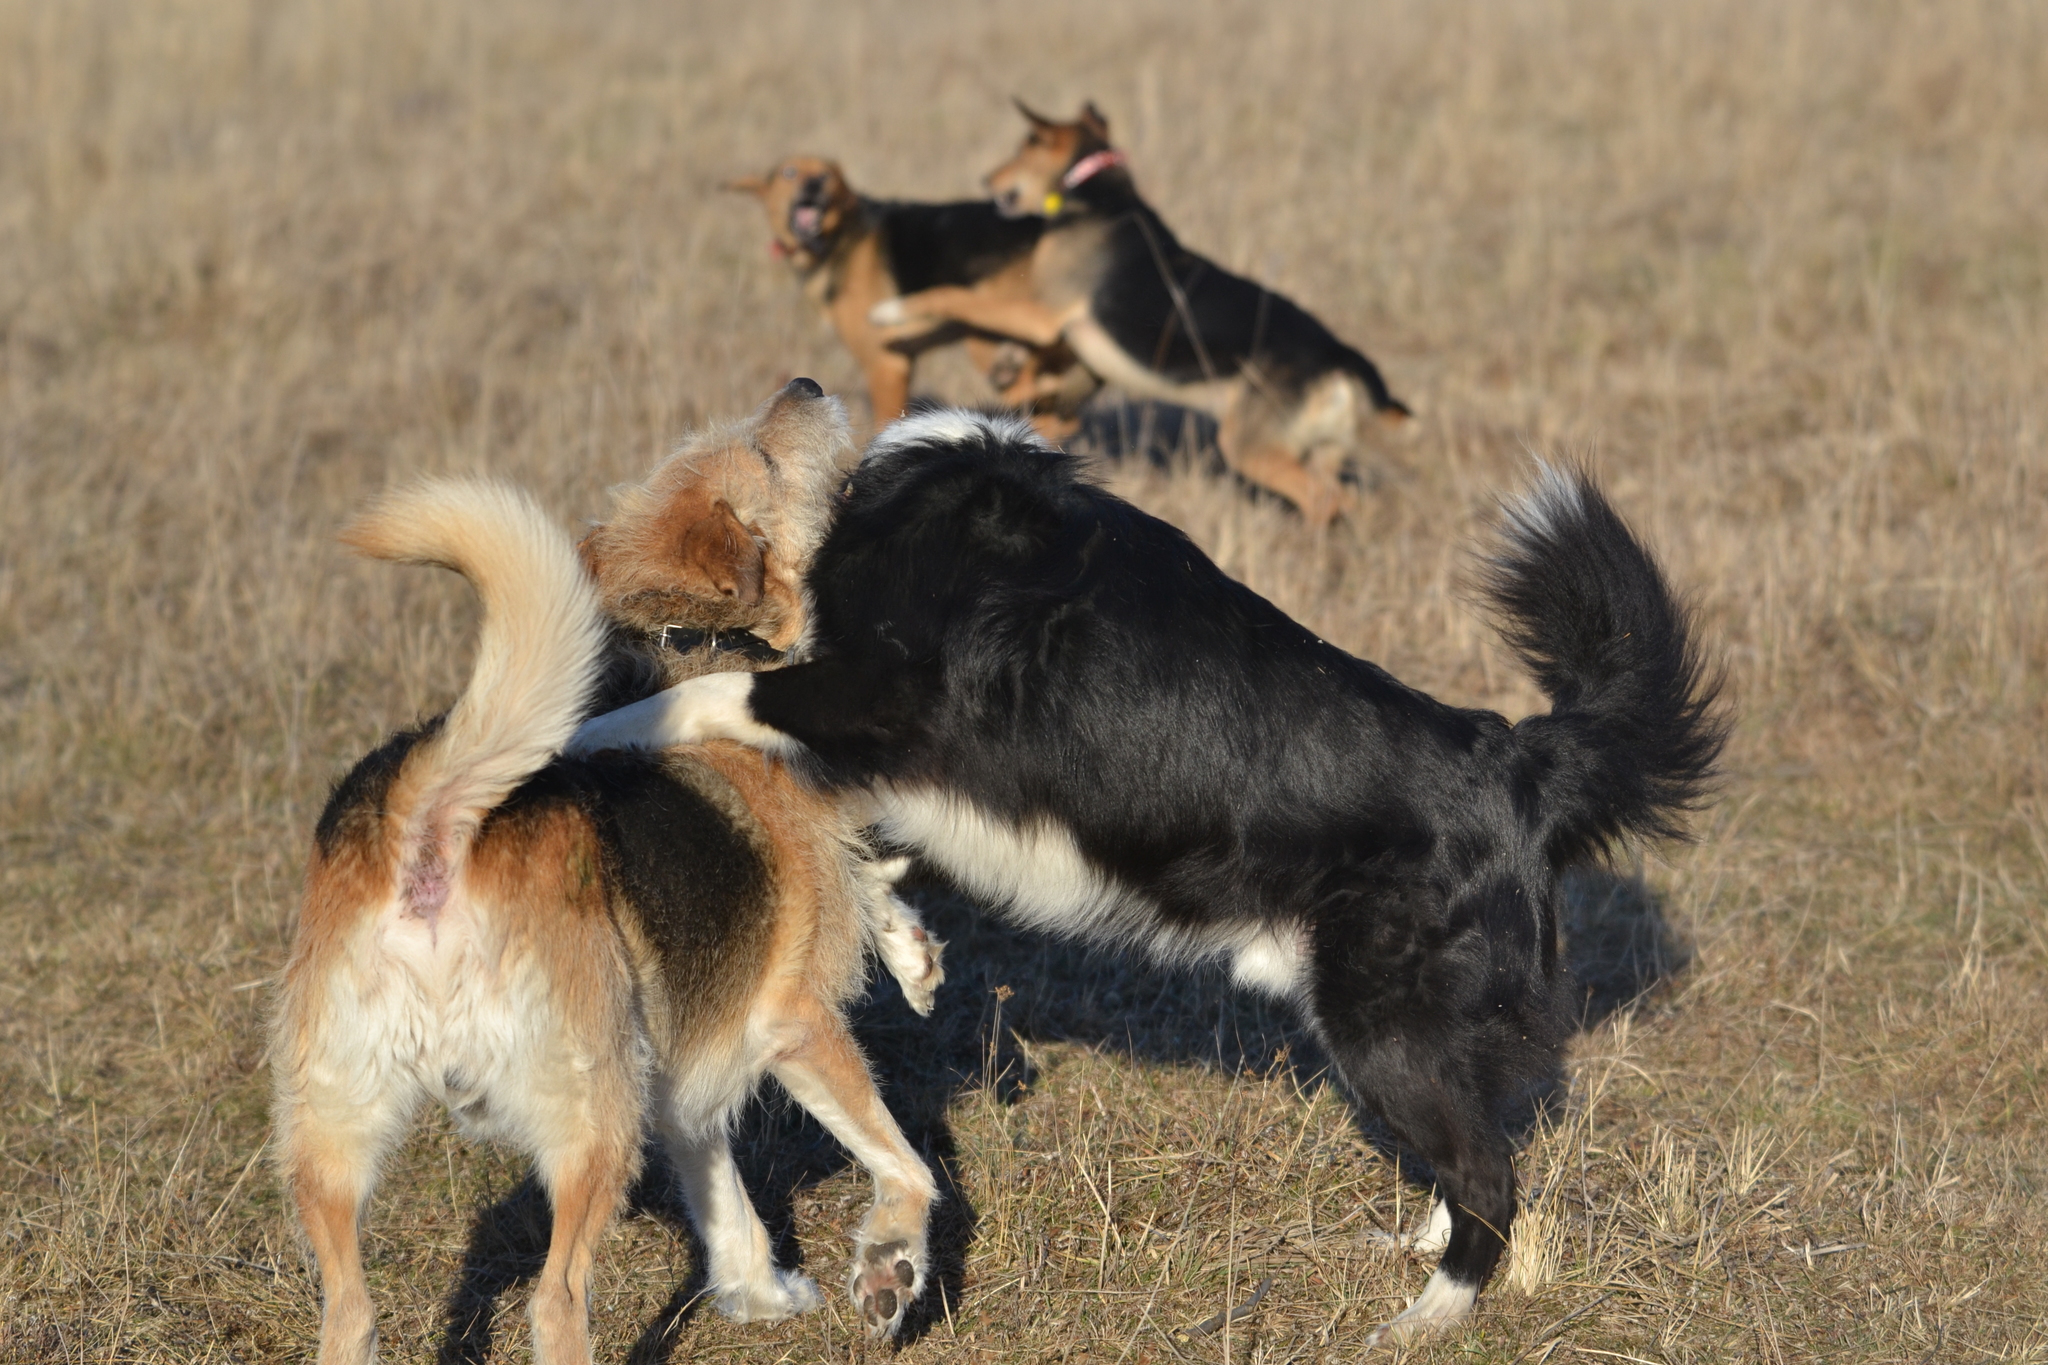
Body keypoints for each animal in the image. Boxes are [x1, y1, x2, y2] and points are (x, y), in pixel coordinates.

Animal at [272, 382, 942, 1365]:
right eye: (764, 456)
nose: (807, 387)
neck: (695, 636)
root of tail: (432, 829)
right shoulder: (794, 1025)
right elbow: (908, 1166)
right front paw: (890, 1268)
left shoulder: (683, 1067)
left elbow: (726, 1203)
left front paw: (760, 1292)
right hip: (592, 1126)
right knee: (556, 1302)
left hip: (339, 1135)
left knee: (350, 1311)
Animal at [573, 401, 1728, 1342]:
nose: (807, 386)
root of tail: (1517, 763)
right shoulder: (927, 778)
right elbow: (867, 843)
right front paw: (907, 951)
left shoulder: (875, 700)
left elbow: (700, 695)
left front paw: (571, 735)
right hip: (1405, 1029)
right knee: (1474, 1143)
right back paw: (1414, 1248)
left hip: (1381, 1021)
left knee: (1490, 1171)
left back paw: (1423, 1318)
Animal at [724, 159, 1097, 437]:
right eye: (788, 173)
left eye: (826, 174)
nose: (814, 184)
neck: (840, 238)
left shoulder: (886, 365)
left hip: (988, 343)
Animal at [864, 101, 1409, 527]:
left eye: (1029, 143)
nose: (988, 179)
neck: (1098, 192)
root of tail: (1340, 356)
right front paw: (1010, 376)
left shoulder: (1041, 312)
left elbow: (952, 295)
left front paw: (890, 311)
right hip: (1319, 453)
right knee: (1348, 502)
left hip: (1251, 448)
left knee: (1328, 500)